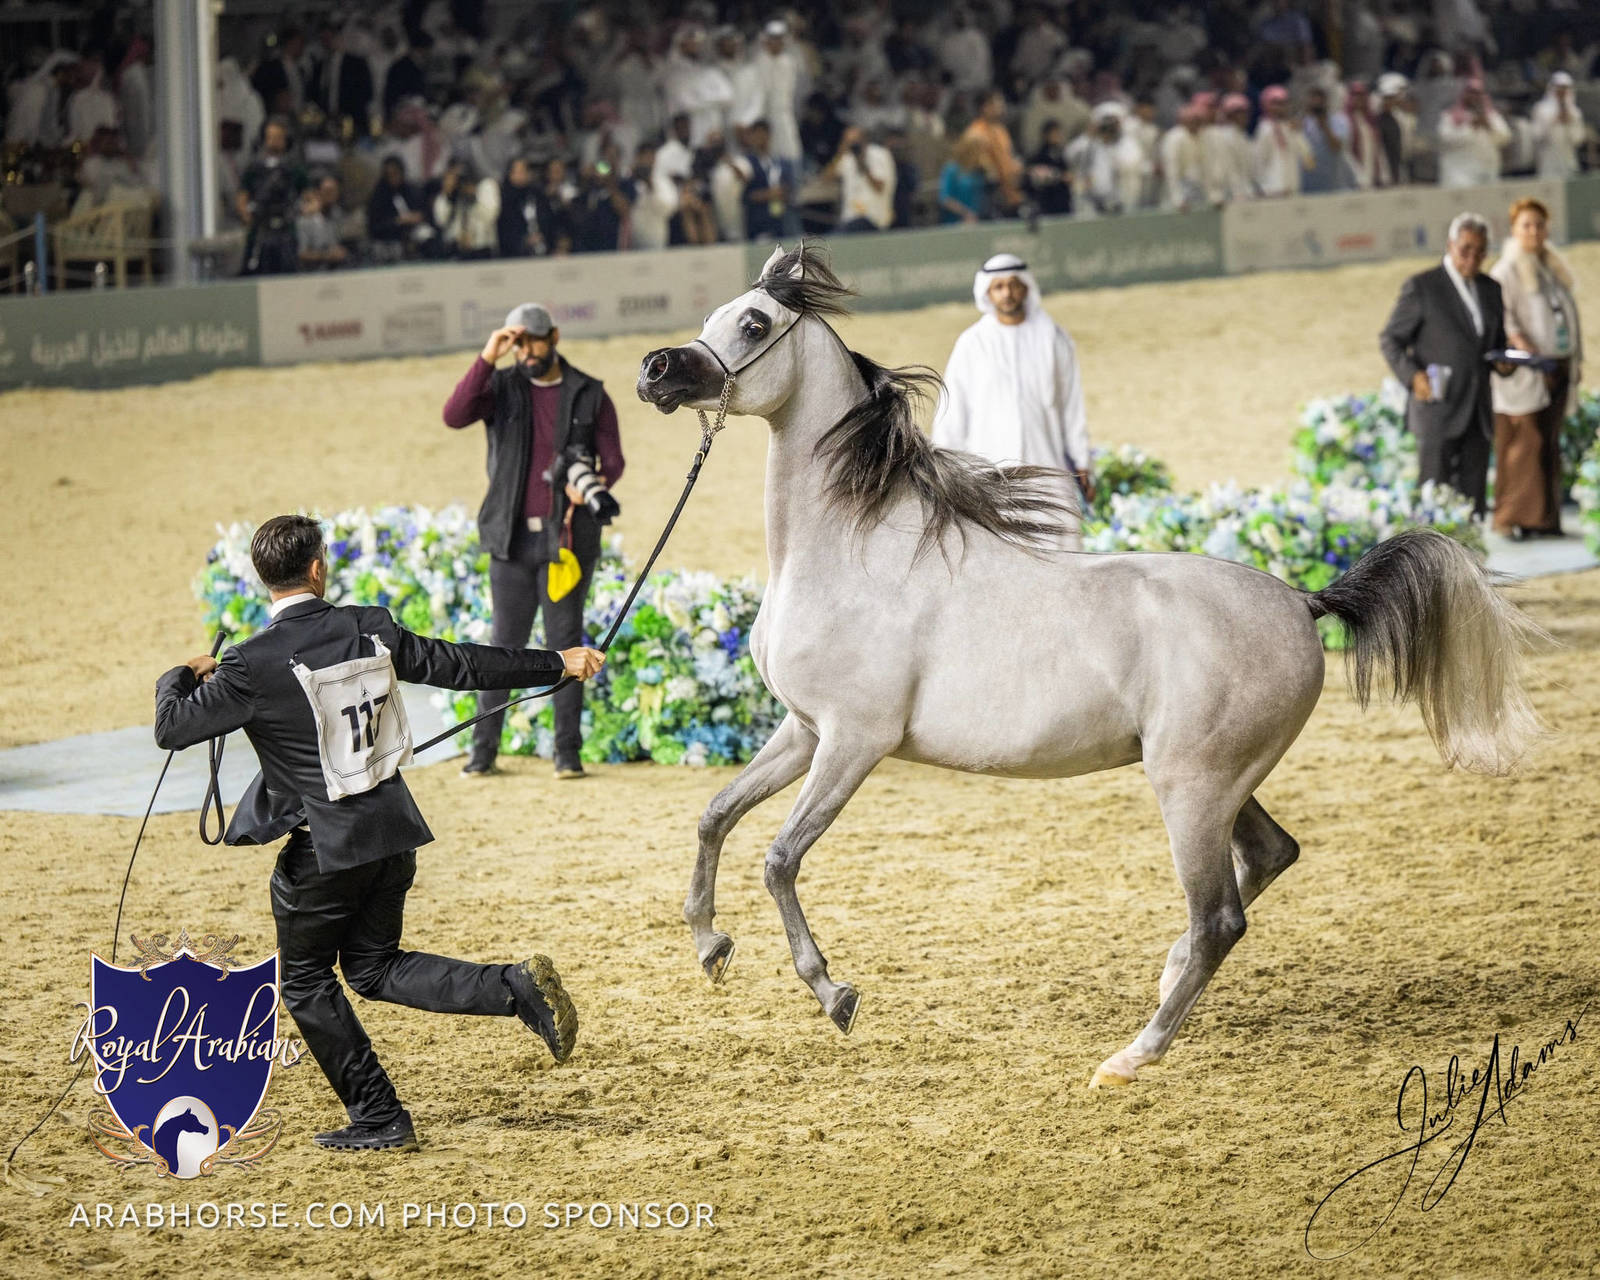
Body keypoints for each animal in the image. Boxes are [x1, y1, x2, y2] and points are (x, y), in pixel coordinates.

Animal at [635, 243, 1542, 1087]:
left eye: (755, 324)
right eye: (714, 315)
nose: (656, 371)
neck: (850, 552)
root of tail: (1302, 602)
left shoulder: (854, 742)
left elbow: (780, 858)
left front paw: (834, 994)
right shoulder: (802, 730)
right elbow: (716, 817)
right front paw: (710, 946)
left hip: (1190, 787)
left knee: (1220, 917)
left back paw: (1134, 1054)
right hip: (1217, 782)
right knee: (1269, 857)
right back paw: (1165, 977)